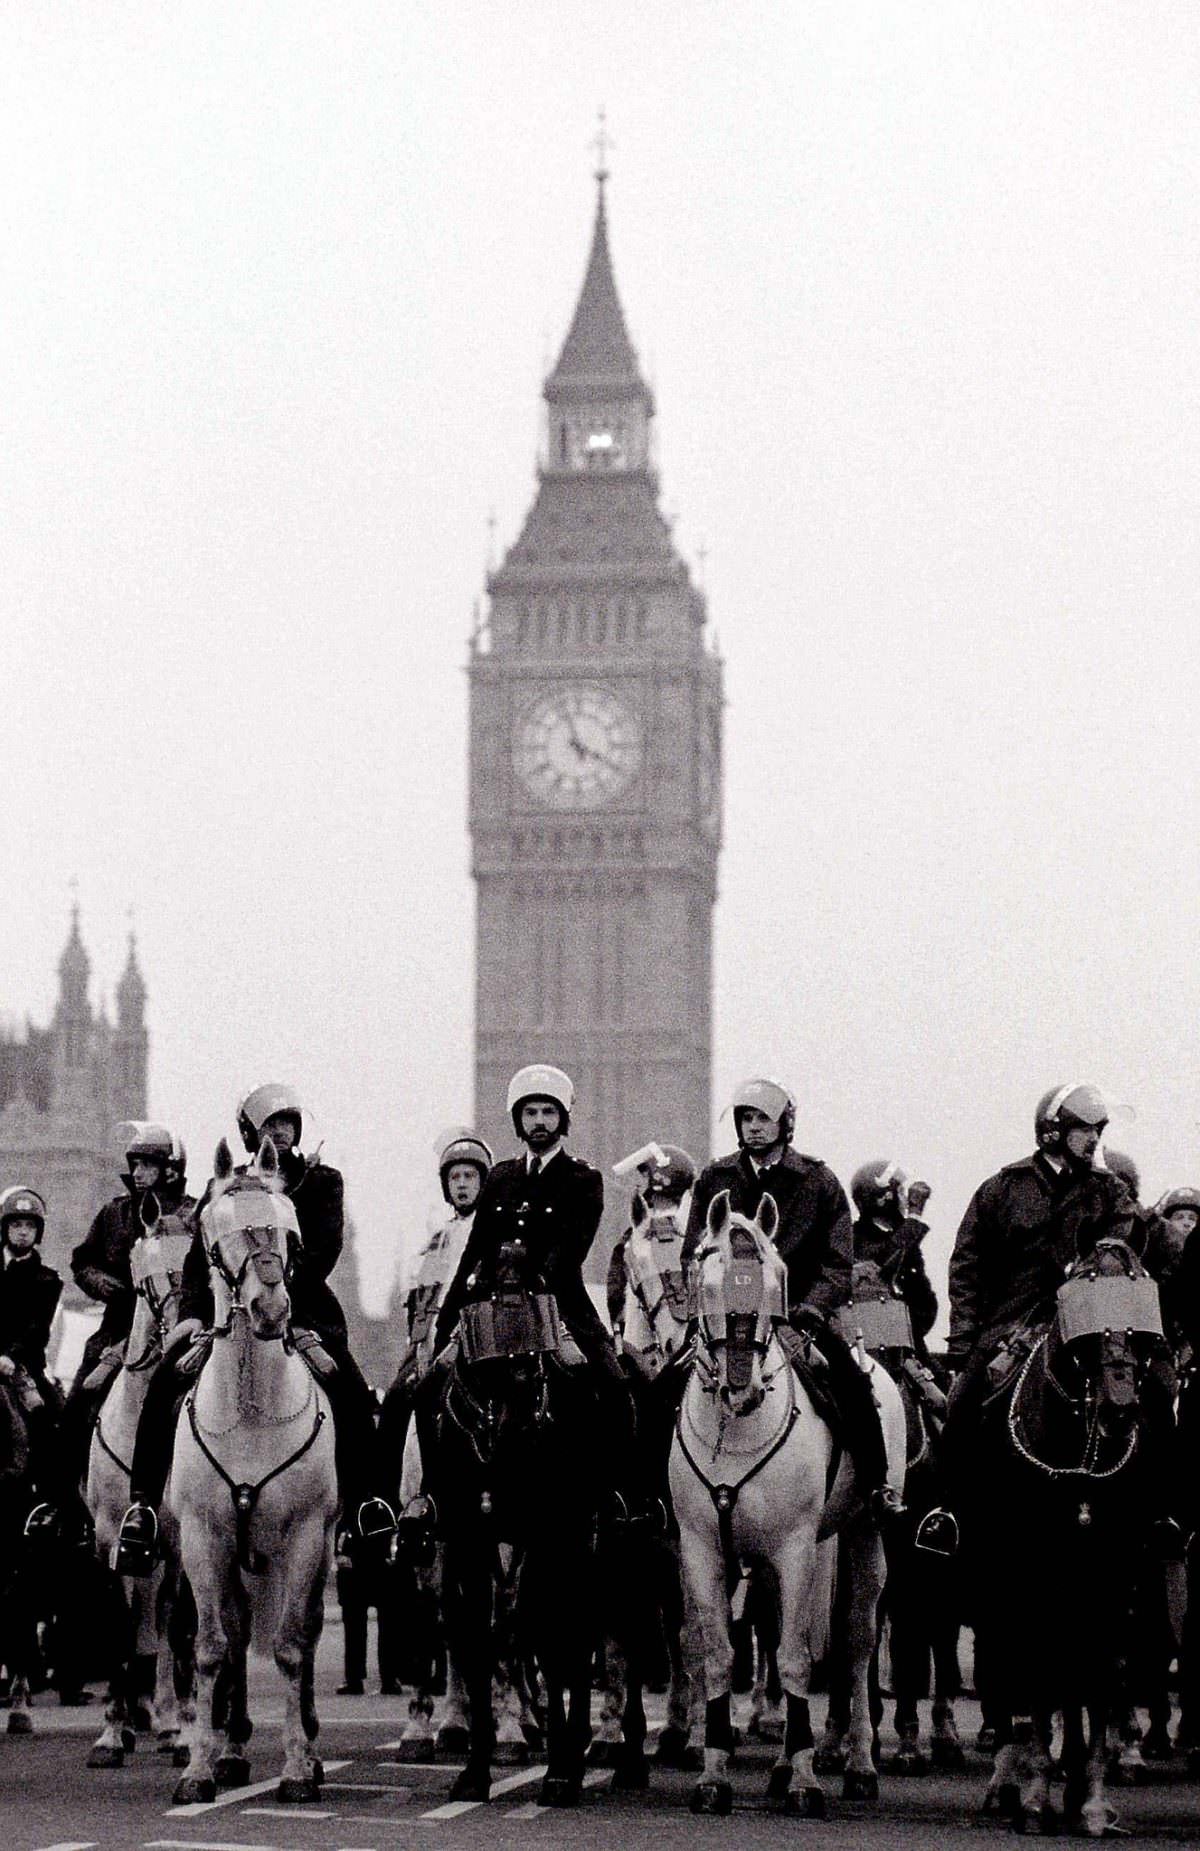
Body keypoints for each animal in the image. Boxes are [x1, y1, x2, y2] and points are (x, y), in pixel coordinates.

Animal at [168, 1140, 337, 1806]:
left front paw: (296, 1769)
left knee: (308, 1633)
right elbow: (212, 1647)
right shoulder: (202, 1537)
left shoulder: (304, 1536)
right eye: (217, 1233)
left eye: (290, 1232)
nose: (269, 1309)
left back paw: (309, 1748)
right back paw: (232, 1749)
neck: (249, 1407)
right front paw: (198, 1769)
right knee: (237, 1633)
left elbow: (291, 1646)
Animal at [670, 1192, 903, 1813]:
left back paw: (860, 1764)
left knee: (856, 1641)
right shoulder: (703, 1552)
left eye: (777, 1276)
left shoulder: (798, 1551)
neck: (734, 1428)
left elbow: (798, 1656)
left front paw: (805, 1780)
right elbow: (720, 1655)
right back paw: (778, 1768)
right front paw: (714, 1774)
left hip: (865, 1533)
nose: (743, 1386)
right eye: (709, 1276)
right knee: (775, 1631)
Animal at [962, 1236, 1170, 1828]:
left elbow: (1104, 1669)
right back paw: (1011, 1779)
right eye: (1085, 1338)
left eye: (1143, 1334)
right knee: (1012, 1660)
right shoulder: (1030, 1566)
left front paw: (1093, 1796)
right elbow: (1037, 1665)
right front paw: (1035, 1791)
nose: (1121, 1409)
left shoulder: (1117, 1570)